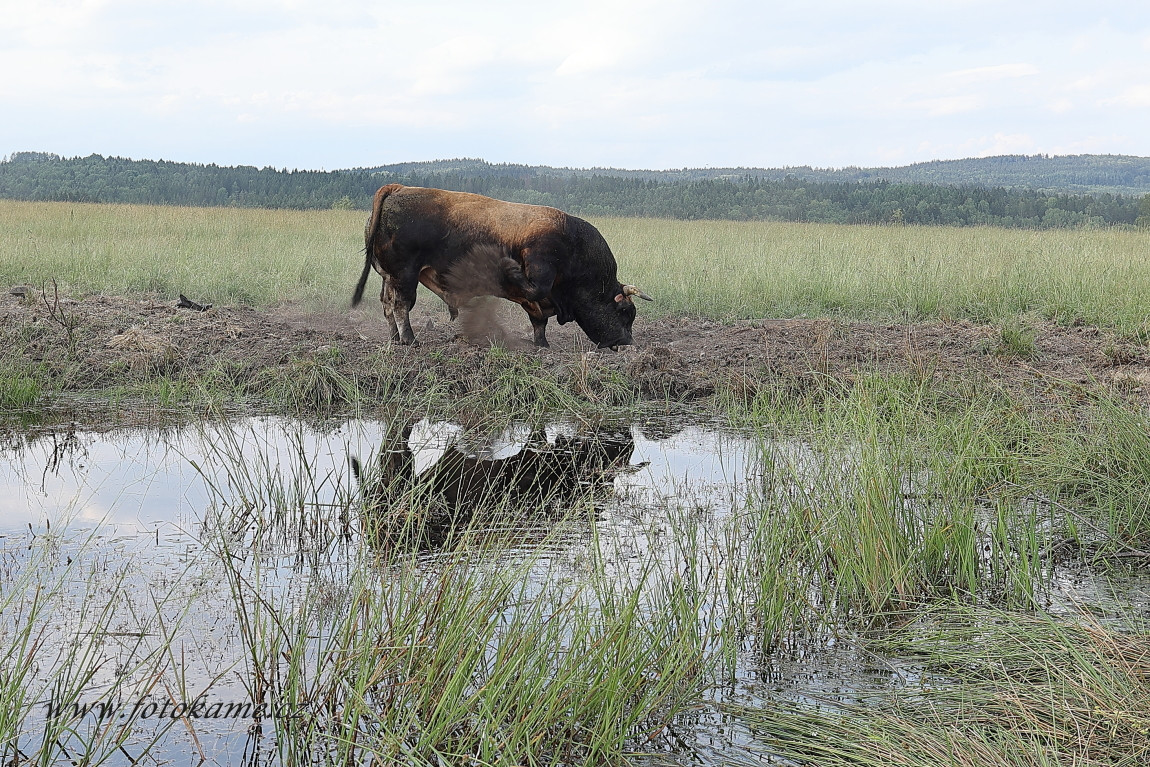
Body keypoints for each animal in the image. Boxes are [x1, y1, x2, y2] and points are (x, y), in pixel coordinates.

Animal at [349, 186, 648, 351]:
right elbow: (534, 291)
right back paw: (410, 340)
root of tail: (398, 188)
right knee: (401, 306)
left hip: (389, 277)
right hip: (405, 276)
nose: (628, 343)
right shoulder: (541, 270)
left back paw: (394, 339)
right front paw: (507, 266)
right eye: (625, 311)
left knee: (388, 306)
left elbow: (538, 319)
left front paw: (542, 344)